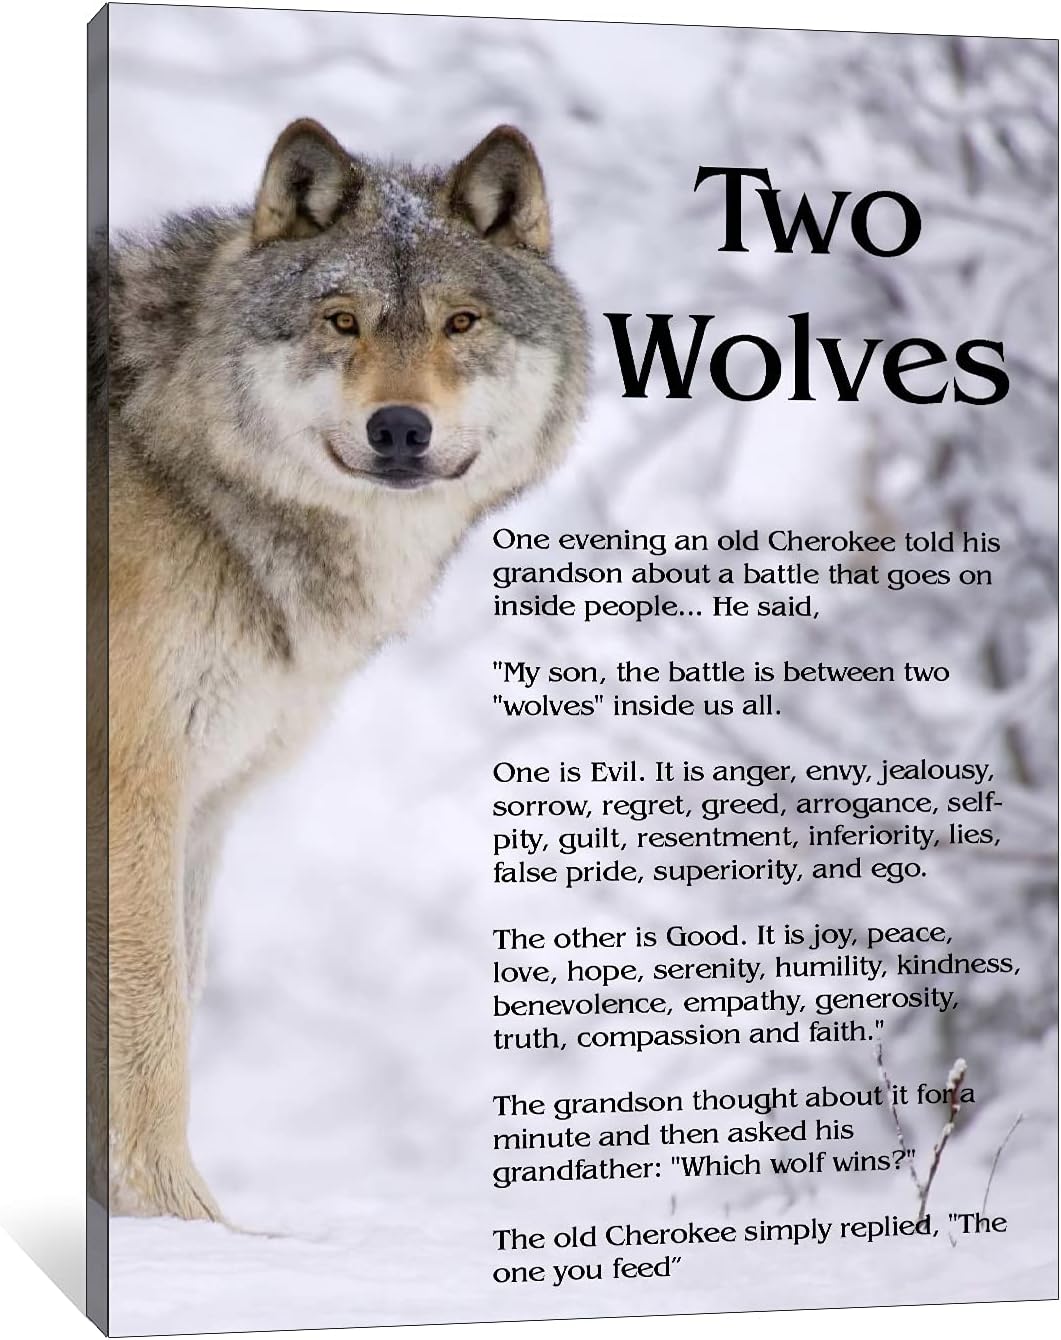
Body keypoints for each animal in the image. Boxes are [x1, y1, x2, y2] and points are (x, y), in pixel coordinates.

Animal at [87, 119, 588, 1222]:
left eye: (459, 322)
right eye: (342, 321)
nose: (398, 427)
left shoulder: (206, 802)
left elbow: (174, 1001)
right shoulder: (138, 788)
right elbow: (153, 1019)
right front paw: (184, 1221)